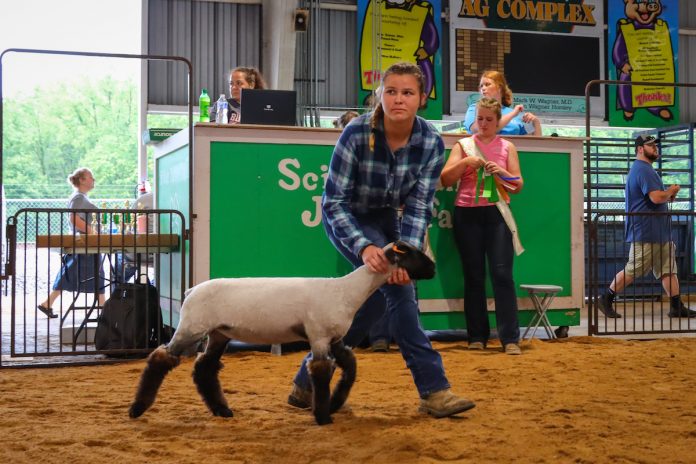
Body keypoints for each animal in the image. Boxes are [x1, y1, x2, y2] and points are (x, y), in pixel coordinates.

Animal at [128, 240, 435, 425]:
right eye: (415, 254)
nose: (433, 269)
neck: (347, 291)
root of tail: (191, 291)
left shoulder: (333, 338)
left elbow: (350, 367)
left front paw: (336, 403)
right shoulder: (319, 336)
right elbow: (321, 373)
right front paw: (323, 416)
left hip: (218, 333)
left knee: (204, 368)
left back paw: (223, 410)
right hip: (191, 328)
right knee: (159, 359)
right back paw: (137, 409)